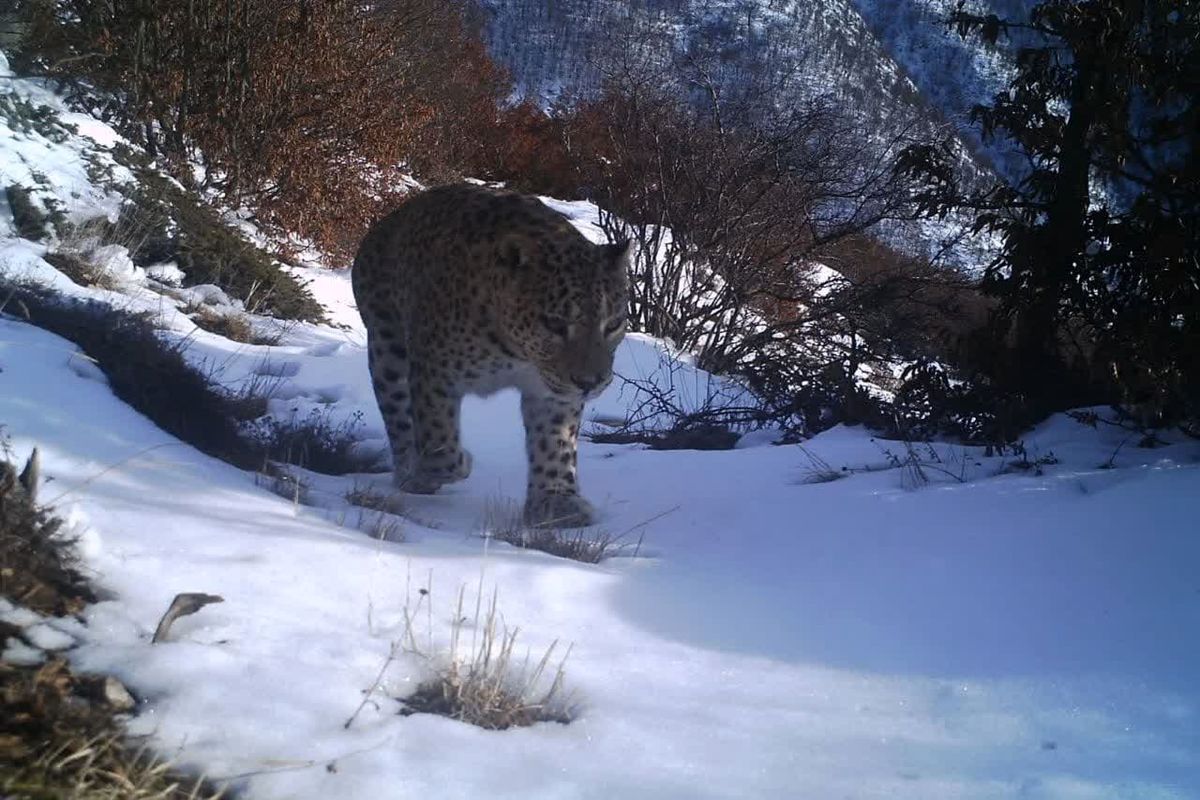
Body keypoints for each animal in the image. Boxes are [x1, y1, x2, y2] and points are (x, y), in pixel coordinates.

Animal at [350, 184, 633, 527]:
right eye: (554, 323)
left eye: (613, 324)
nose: (590, 383)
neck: (518, 353)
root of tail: (388, 220)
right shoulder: (433, 372)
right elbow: (439, 441)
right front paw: (448, 465)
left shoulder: (553, 393)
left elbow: (555, 442)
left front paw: (555, 500)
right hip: (386, 346)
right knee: (397, 414)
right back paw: (409, 472)